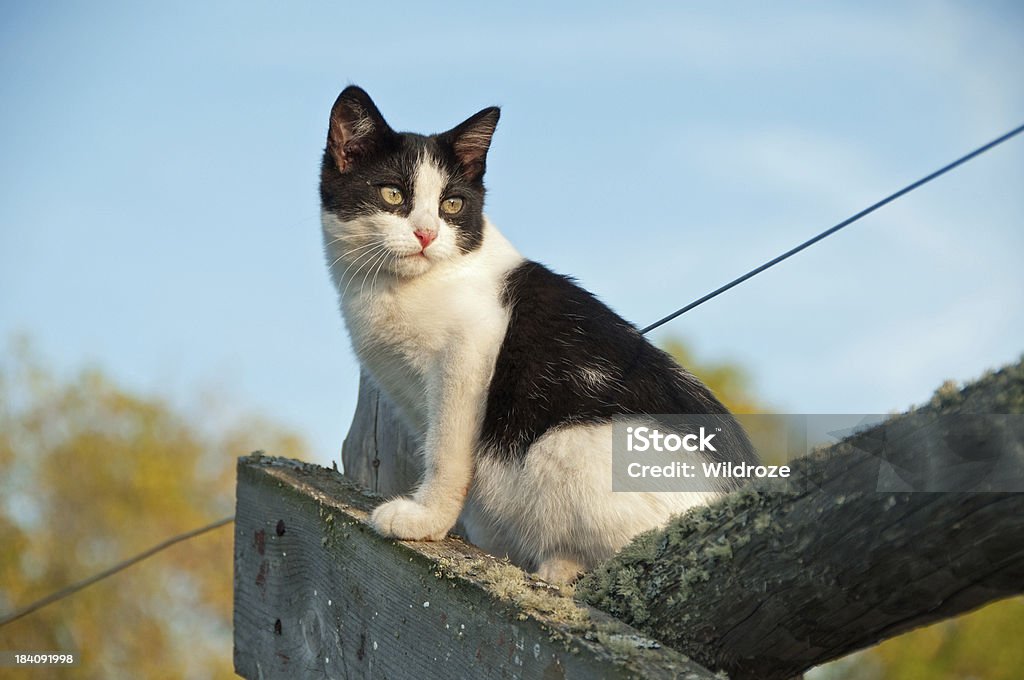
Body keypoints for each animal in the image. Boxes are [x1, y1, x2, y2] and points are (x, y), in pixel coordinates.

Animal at [319, 85, 761, 581]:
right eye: (392, 194)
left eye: (452, 204)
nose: (427, 234)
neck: (394, 289)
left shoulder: (469, 354)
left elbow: (448, 452)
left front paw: (426, 521)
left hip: (568, 444)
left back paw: (558, 567)